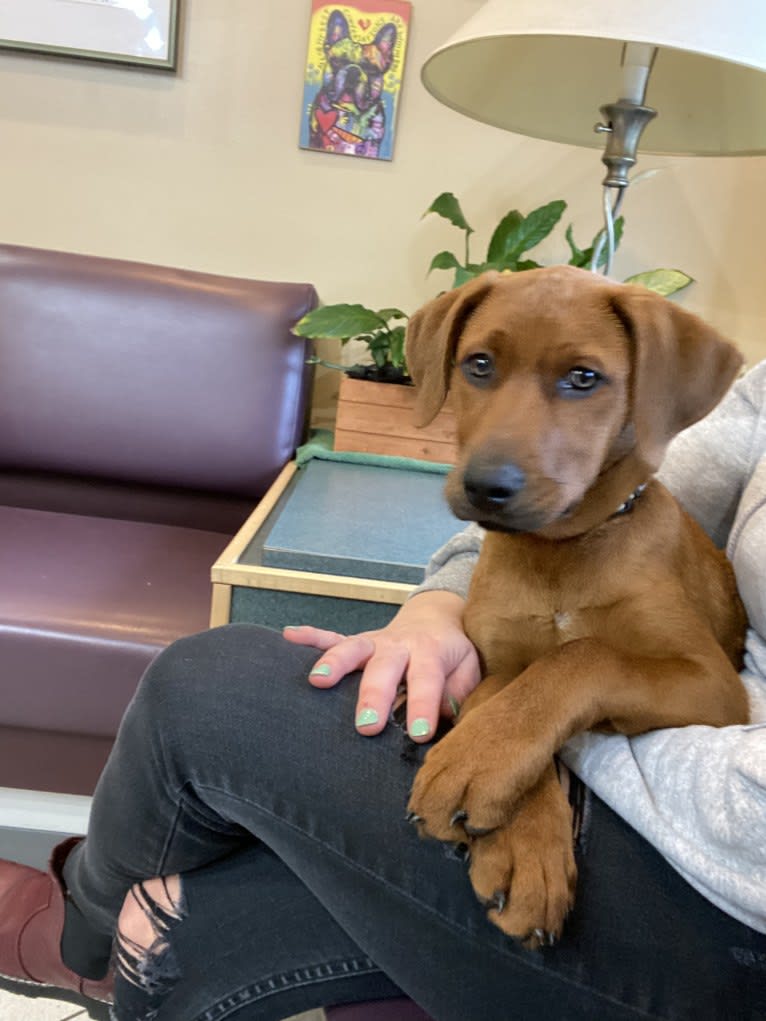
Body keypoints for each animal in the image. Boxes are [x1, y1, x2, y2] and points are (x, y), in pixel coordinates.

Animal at [408, 265, 751, 947]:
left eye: (584, 378)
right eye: (478, 364)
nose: (485, 487)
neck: (559, 555)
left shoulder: (715, 685)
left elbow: (581, 657)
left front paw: (476, 761)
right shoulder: (496, 661)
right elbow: (501, 694)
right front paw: (518, 838)